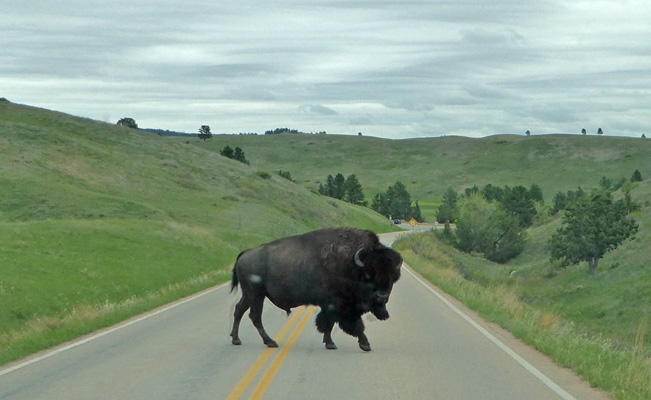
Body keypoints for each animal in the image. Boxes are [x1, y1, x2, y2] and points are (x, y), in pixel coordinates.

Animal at [229, 227, 402, 352]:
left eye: (393, 276)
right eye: (368, 275)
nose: (382, 296)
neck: (351, 263)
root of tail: (245, 253)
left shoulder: (333, 306)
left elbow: (330, 323)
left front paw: (329, 343)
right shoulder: (338, 305)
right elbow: (347, 324)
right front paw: (363, 344)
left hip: (250, 295)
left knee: (239, 310)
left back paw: (236, 339)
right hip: (256, 295)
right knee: (254, 316)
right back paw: (270, 342)